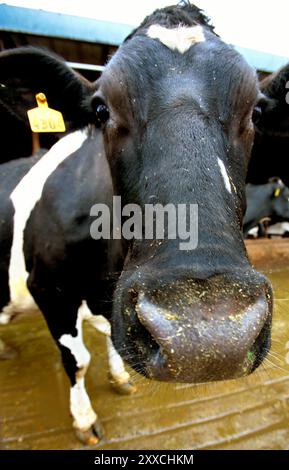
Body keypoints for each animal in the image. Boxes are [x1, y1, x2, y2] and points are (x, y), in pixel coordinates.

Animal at [0, 2, 276, 444]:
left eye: (257, 110)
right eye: (101, 109)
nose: (206, 337)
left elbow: (112, 342)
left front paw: (119, 379)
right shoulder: (49, 289)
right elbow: (76, 359)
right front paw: (84, 420)